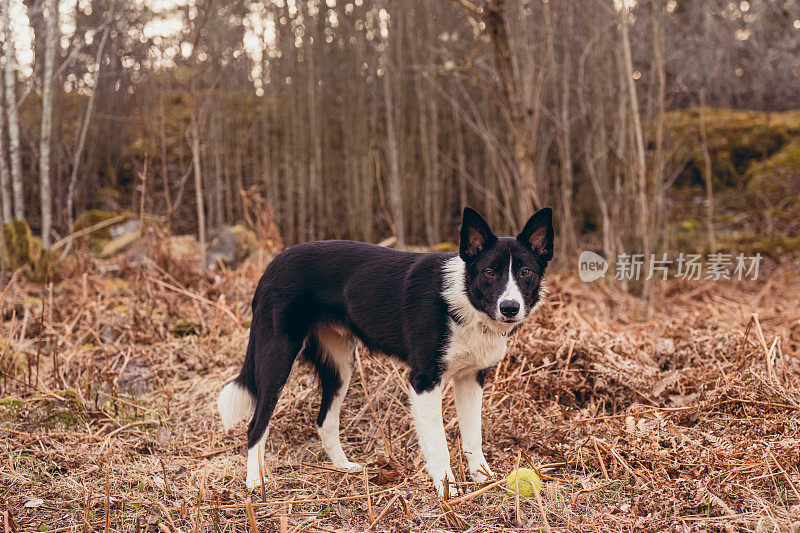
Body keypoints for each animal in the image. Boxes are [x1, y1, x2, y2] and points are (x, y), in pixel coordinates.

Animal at [220, 207, 556, 494]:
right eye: (489, 272)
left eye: (526, 272)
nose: (510, 308)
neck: (464, 298)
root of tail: (272, 265)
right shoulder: (424, 381)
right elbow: (438, 442)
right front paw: (448, 491)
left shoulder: (472, 379)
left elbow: (473, 435)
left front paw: (483, 479)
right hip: (277, 359)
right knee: (256, 426)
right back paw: (255, 482)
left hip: (340, 366)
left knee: (324, 420)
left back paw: (343, 467)